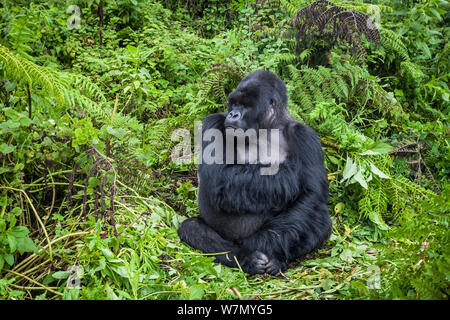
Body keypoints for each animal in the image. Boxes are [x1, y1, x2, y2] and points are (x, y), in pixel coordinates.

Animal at [178, 70, 332, 276]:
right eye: (233, 103)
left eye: (245, 105)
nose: (233, 114)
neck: (265, 128)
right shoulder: (214, 121)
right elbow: (218, 175)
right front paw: (289, 177)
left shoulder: (305, 136)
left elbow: (312, 193)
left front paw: (265, 242)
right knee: (192, 228)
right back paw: (245, 258)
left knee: (321, 221)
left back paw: (277, 260)